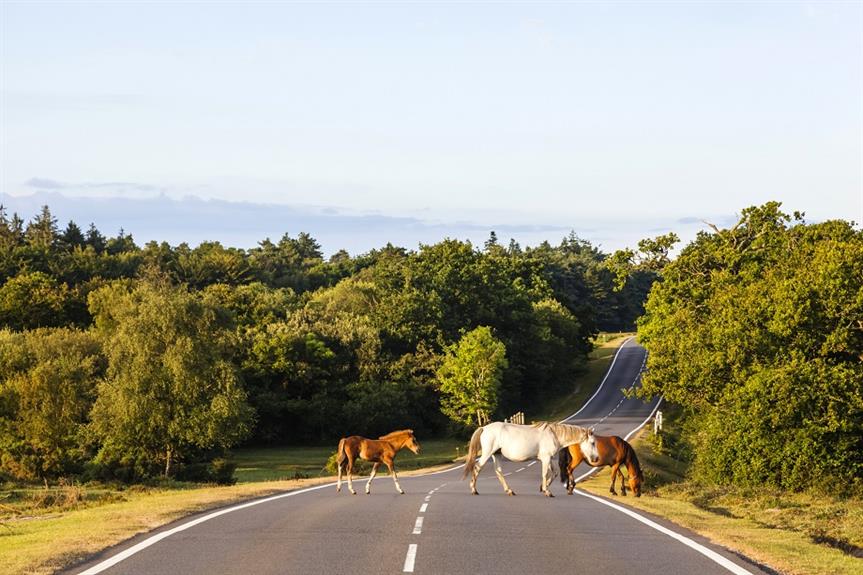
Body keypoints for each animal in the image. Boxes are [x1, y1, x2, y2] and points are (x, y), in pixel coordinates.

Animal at [462, 420, 596, 498]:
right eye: (593, 443)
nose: (595, 458)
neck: (554, 435)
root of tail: (484, 428)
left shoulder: (548, 459)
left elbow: (554, 473)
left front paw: (543, 488)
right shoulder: (546, 458)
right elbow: (545, 473)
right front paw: (547, 491)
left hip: (497, 454)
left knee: (498, 471)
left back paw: (509, 491)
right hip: (487, 453)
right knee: (477, 467)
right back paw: (474, 490)